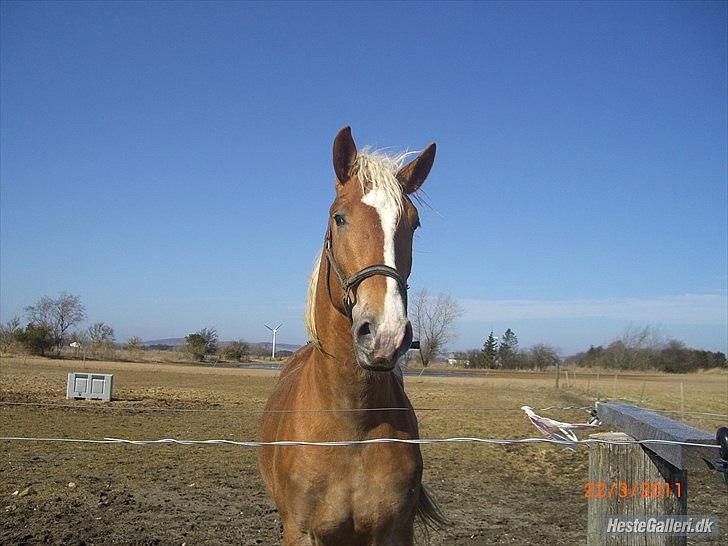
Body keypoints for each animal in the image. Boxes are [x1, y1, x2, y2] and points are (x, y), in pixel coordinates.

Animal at [258, 125, 446, 540]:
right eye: (339, 218)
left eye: (414, 224)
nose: (385, 334)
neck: (351, 426)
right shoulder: (301, 532)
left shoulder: (395, 532)